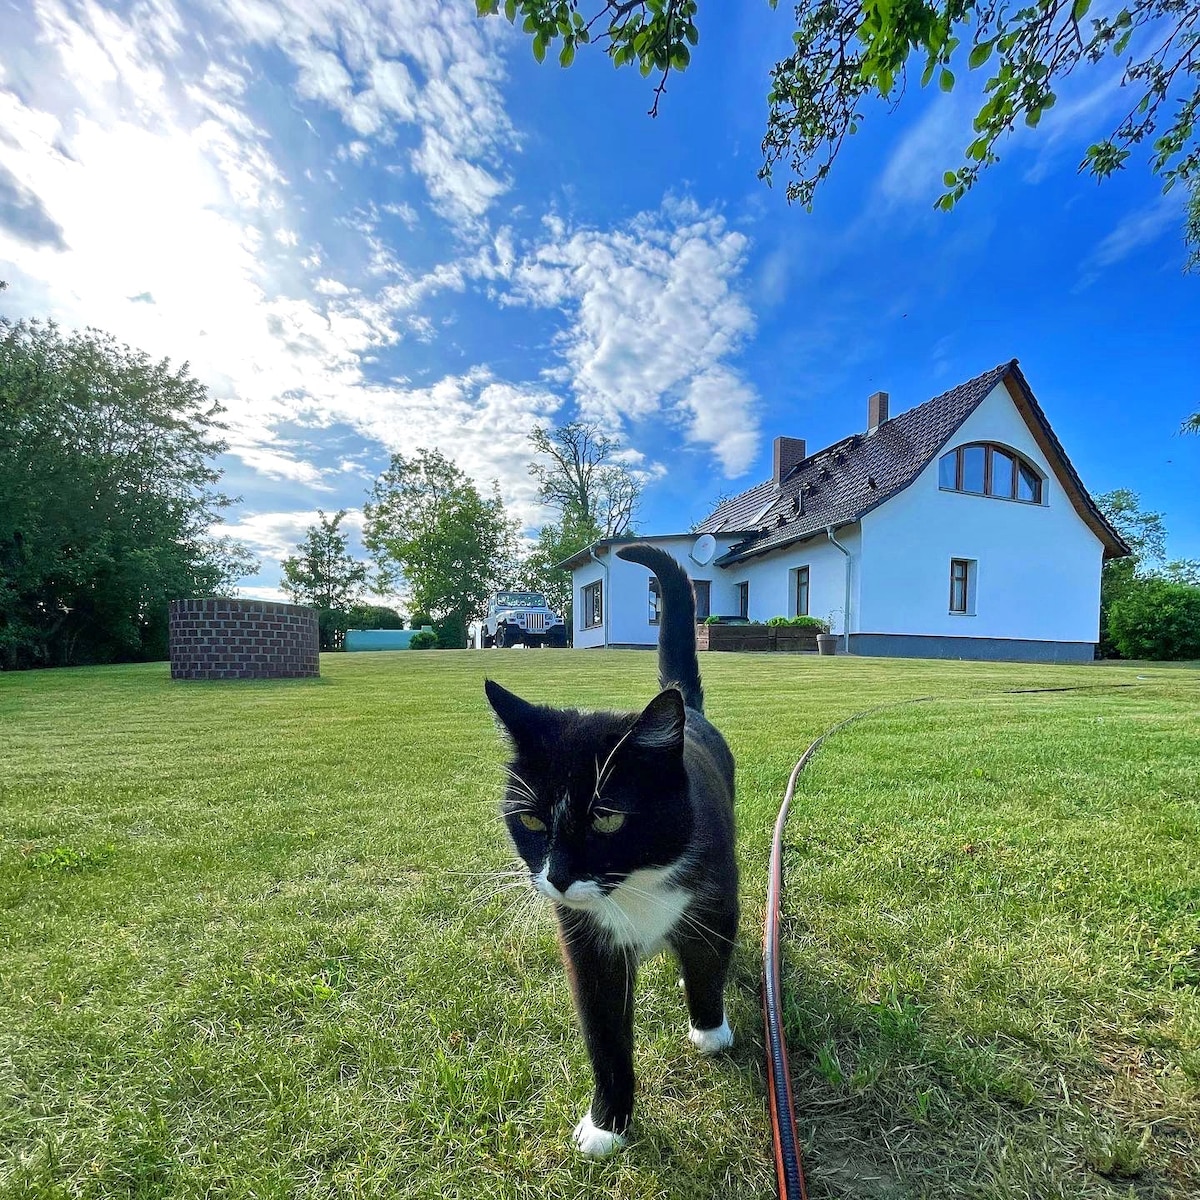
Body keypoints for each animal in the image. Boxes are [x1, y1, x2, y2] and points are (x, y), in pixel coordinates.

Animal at [482, 544, 734, 1152]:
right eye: (529, 818)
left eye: (607, 818)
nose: (558, 877)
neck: (636, 885)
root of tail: (688, 712)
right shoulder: (586, 940)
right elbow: (603, 1030)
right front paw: (606, 1123)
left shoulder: (714, 893)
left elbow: (708, 961)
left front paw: (710, 1030)